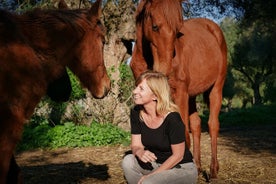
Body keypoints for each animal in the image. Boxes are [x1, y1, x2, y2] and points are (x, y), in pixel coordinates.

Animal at [130, 0, 227, 179]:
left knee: (212, 125)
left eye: (177, 32)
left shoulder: (180, 92)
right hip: (192, 95)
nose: (165, 70)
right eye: (155, 27)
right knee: (196, 125)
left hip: (216, 87)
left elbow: (183, 138)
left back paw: (213, 170)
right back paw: (198, 166)